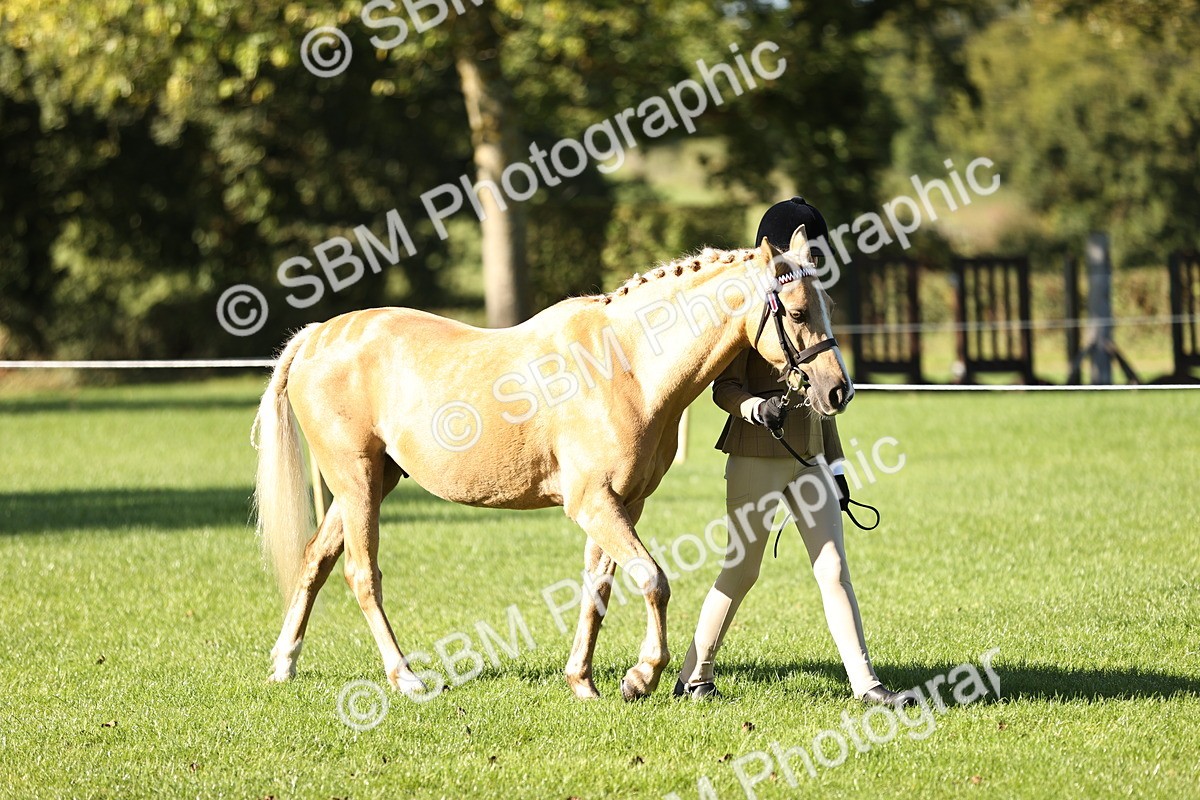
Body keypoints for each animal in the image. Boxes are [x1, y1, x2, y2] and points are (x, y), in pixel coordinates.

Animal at [253, 224, 853, 701]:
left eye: (827, 306)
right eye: (797, 311)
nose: (838, 390)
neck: (625, 366)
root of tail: (316, 337)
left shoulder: (622, 506)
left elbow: (599, 590)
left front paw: (582, 682)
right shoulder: (592, 504)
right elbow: (653, 581)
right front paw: (641, 676)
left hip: (372, 481)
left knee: (315, 561)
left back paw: (284, 664)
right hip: (355, 482)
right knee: (362, 574)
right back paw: (405, 678)